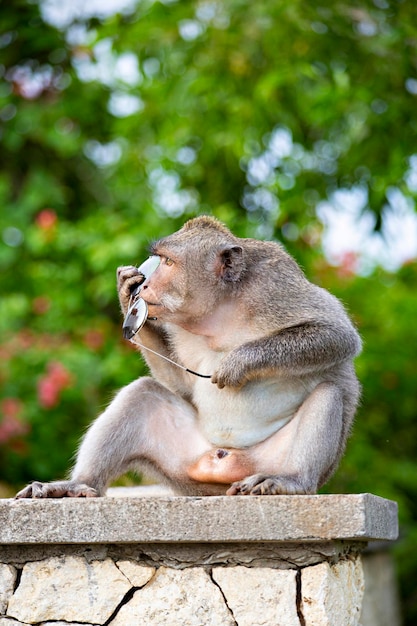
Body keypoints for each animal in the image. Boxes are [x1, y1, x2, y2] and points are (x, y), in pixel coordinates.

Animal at [16, 214, 360, 498]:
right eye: (158, 261)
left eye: (168, 263)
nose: (145, 286)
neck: (221, 306)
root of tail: (222, 468)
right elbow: (182, 382)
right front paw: (126, 291)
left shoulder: (275, 285)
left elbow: (338, 335)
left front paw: (239, 362)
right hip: (186, 462)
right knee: (141, 393)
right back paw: (78, 484)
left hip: (269, 460)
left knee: (328, 393)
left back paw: (291, 481)